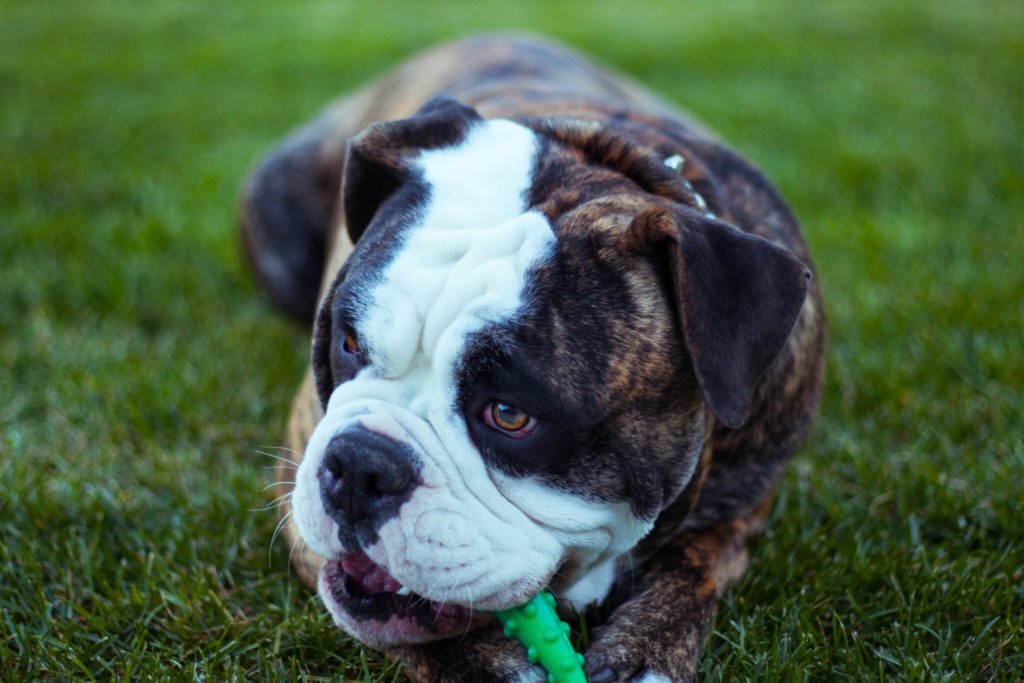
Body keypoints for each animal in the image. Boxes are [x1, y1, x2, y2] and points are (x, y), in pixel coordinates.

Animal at [243, 34, 827, 683]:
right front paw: (484, 665)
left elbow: (693, 567)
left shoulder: (744, 506)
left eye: (509, 415)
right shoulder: (295, 471)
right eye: (348, 342)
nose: (358, 465)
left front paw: (644, 650)